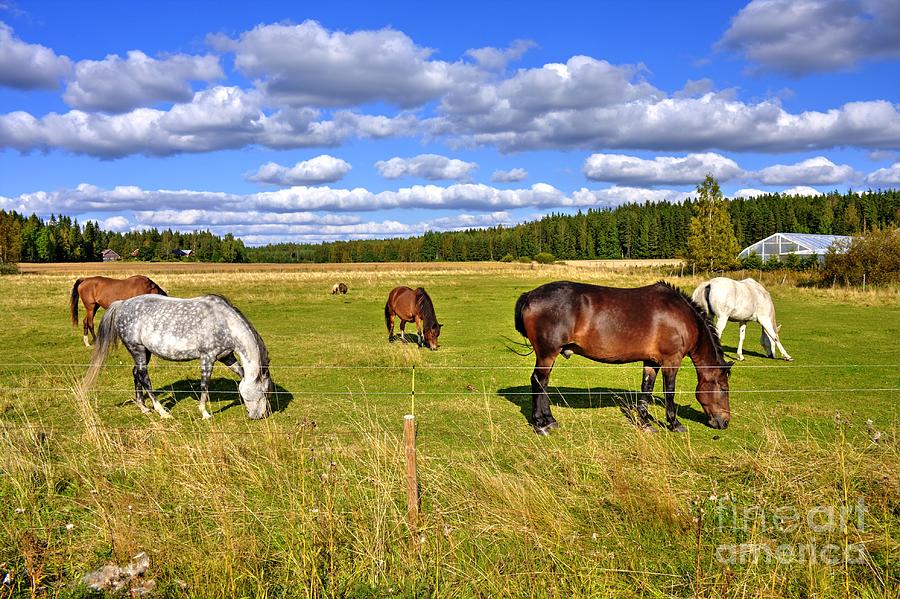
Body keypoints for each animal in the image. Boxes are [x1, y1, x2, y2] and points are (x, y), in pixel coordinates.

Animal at [82, 294, 273, 420]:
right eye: (264, 392)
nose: (259, 416)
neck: (224, 322)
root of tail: (122, 304)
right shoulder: (208, 357)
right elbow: (205, 385)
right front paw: (205, 413)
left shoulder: (226, 357)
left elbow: (241, 375)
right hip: (138, 350)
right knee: (144, 377)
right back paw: (161, 411)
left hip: (144, 352)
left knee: (136, 373)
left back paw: (143, 408)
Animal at [514, 281, 733, 435]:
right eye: (723, 388)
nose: (725, 422)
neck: (682, 317)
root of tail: (530, 295)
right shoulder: (671, 361)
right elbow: (669, 392)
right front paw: (674, 423)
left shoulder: (652, 362)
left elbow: (646, 389)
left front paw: (645, 423)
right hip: (547, 353)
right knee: (538, 381)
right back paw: (540, 424)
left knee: (543, 383)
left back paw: (550, 420)